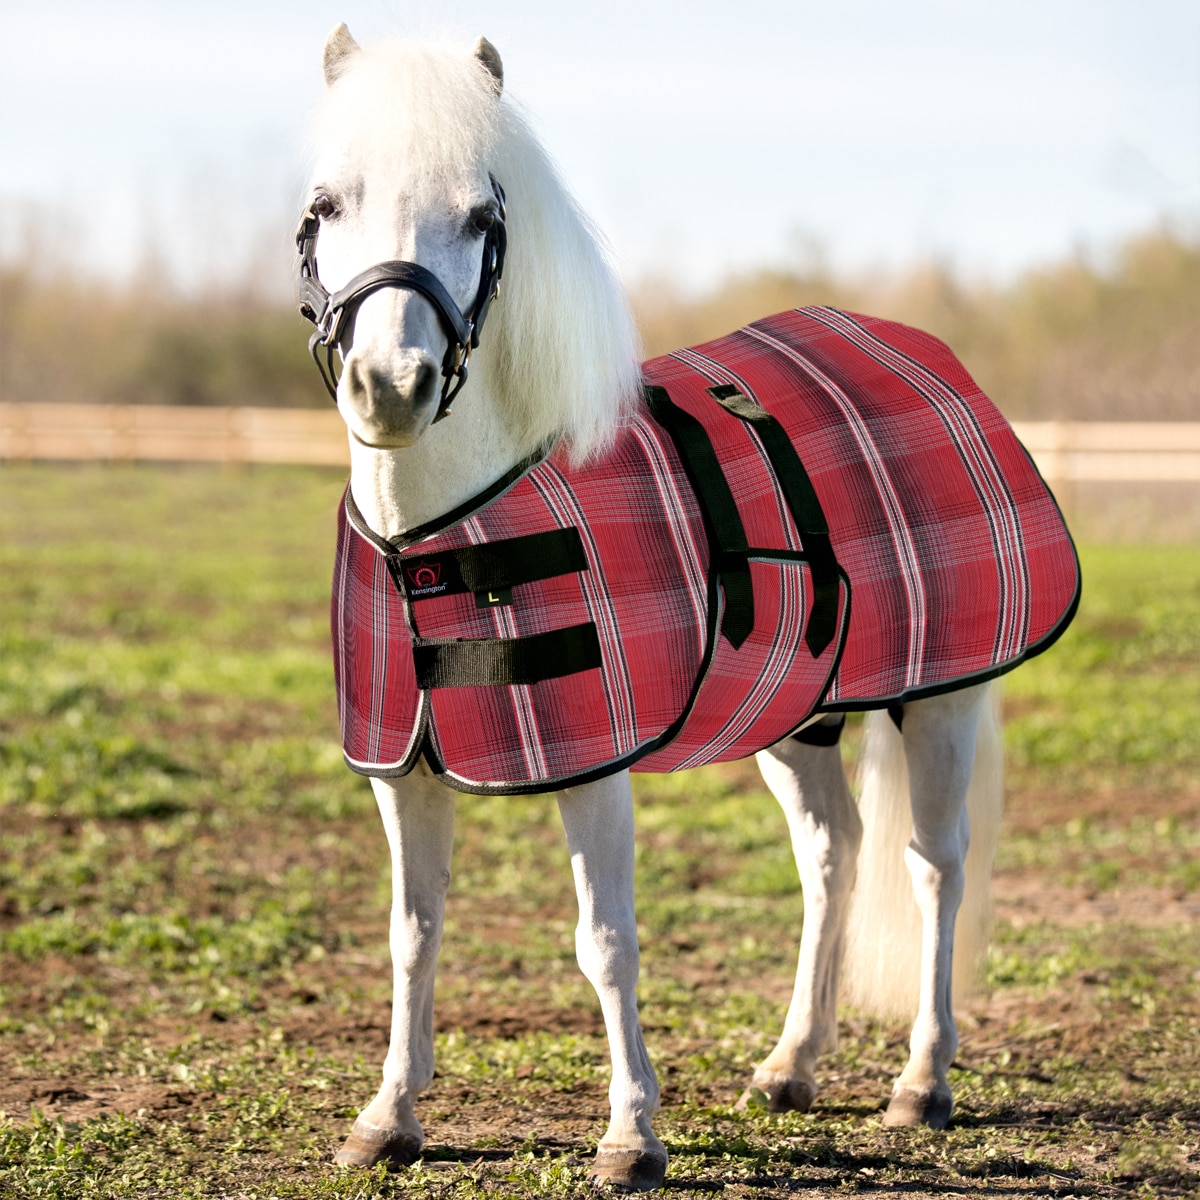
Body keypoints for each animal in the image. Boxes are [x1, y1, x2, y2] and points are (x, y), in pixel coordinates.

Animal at [296, 26, 1079, 1191]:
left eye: (480, 216)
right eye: (326, 203)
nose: (392, 384)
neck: (438, 538)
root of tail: (932, 362)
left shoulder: (593, 771)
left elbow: (606, 941)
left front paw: (631, 1135)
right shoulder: (407, 766)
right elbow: (412, 932)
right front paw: (389, 1117)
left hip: (940, 701)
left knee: (932, 866)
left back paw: (921, 1083)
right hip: (797, 715)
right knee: (832, 855)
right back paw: (792, 1066)